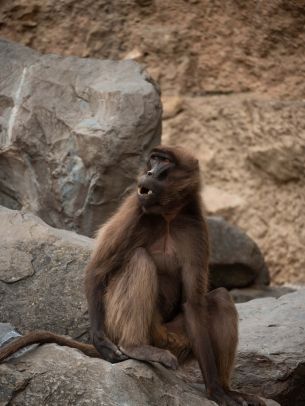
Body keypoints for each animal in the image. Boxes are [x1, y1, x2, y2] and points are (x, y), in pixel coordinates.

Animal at [0, 146, 264, 406]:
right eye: (153, 159)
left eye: (164, 161)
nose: (149, 172)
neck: (168, 214)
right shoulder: (134, 208)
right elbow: (97, 270)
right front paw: (100, 340)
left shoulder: (196, 226)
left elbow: (192, 303)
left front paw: (216, 391)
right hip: (134, 327)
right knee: (139, 258)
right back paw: (134, 347)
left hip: (177, 339)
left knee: (220, 298)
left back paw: (227, 388)